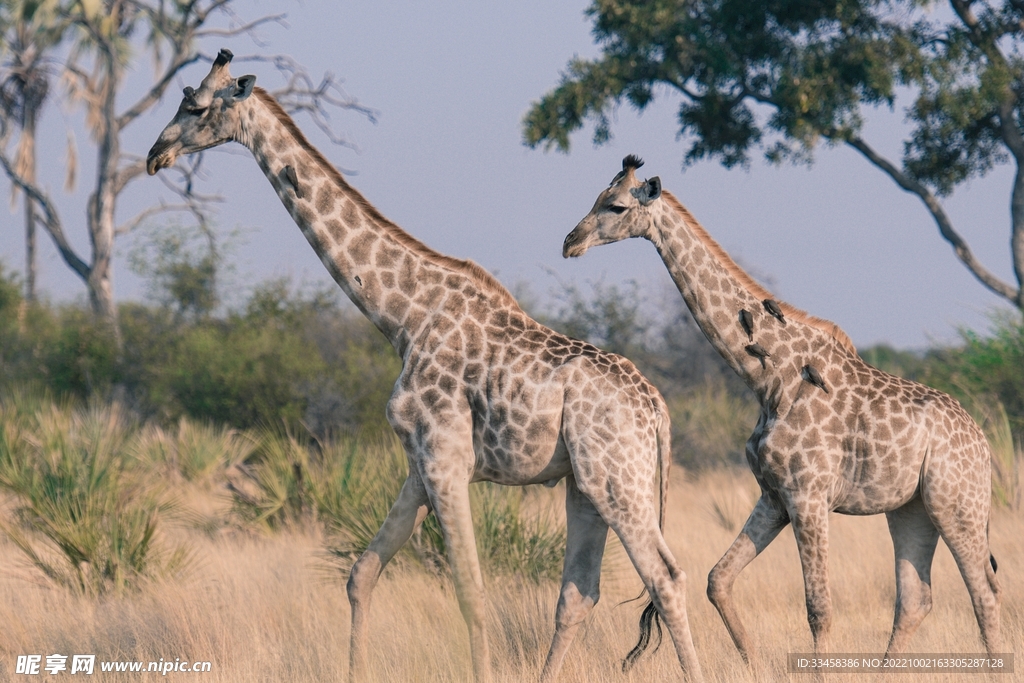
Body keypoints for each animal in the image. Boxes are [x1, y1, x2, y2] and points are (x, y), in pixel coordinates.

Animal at [146, 52, 704, 683]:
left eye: (195, 106)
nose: (155, 154)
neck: (402, 318)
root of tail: (657, 408)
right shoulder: (418, 463)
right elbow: (361, 573)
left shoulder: (445, 459)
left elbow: (471, 593)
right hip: (586, 485)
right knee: (579, 593)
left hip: (619, 480)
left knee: (665, 577)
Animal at [561, 153, 999, 663]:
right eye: (596, 197)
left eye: (614, 205)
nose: (571, 242)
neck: (767, 380)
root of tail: (982, 442)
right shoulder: (774, 494)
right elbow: (718, 579)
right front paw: (750, 662)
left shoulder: (809, 497)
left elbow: (819, 610)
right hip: (911, 509)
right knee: (915, 599)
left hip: (957, 503)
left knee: (984, 592)